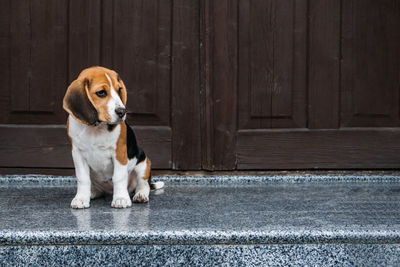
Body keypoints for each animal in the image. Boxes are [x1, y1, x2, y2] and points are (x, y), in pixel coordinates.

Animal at [62, 66, 162, 209]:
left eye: (119, 89)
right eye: (101, 93)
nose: (122, 111)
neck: (96, 128)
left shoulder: (119, 153)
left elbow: (119, 177)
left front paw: (120, 198)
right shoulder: (77, 153)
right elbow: (83, 178)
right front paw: (81, 198)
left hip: (144, 163)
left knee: (144, 184)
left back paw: (140, 195)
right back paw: (92, 193)